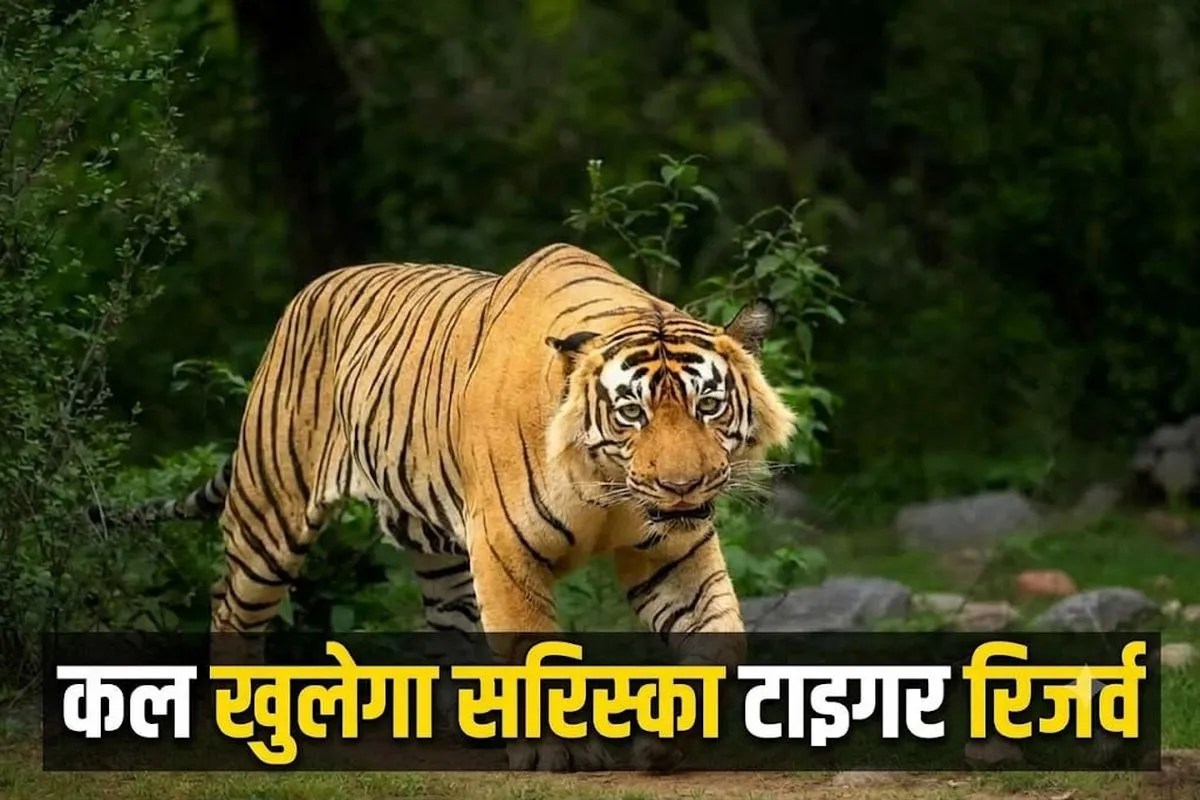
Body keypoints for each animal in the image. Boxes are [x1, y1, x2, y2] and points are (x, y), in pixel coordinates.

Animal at [91, 242, 797, 771]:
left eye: (709, 405)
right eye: (631, 413)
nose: (683, 486)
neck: (607, 488)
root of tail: (313, 287)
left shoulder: (673, 553)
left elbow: (720, 644)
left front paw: (664, 746)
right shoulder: (507, 550)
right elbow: (535, 650)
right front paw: (561, 756)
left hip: (439, 549)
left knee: (448, 622)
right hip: (271, 509)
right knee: (231, 606)